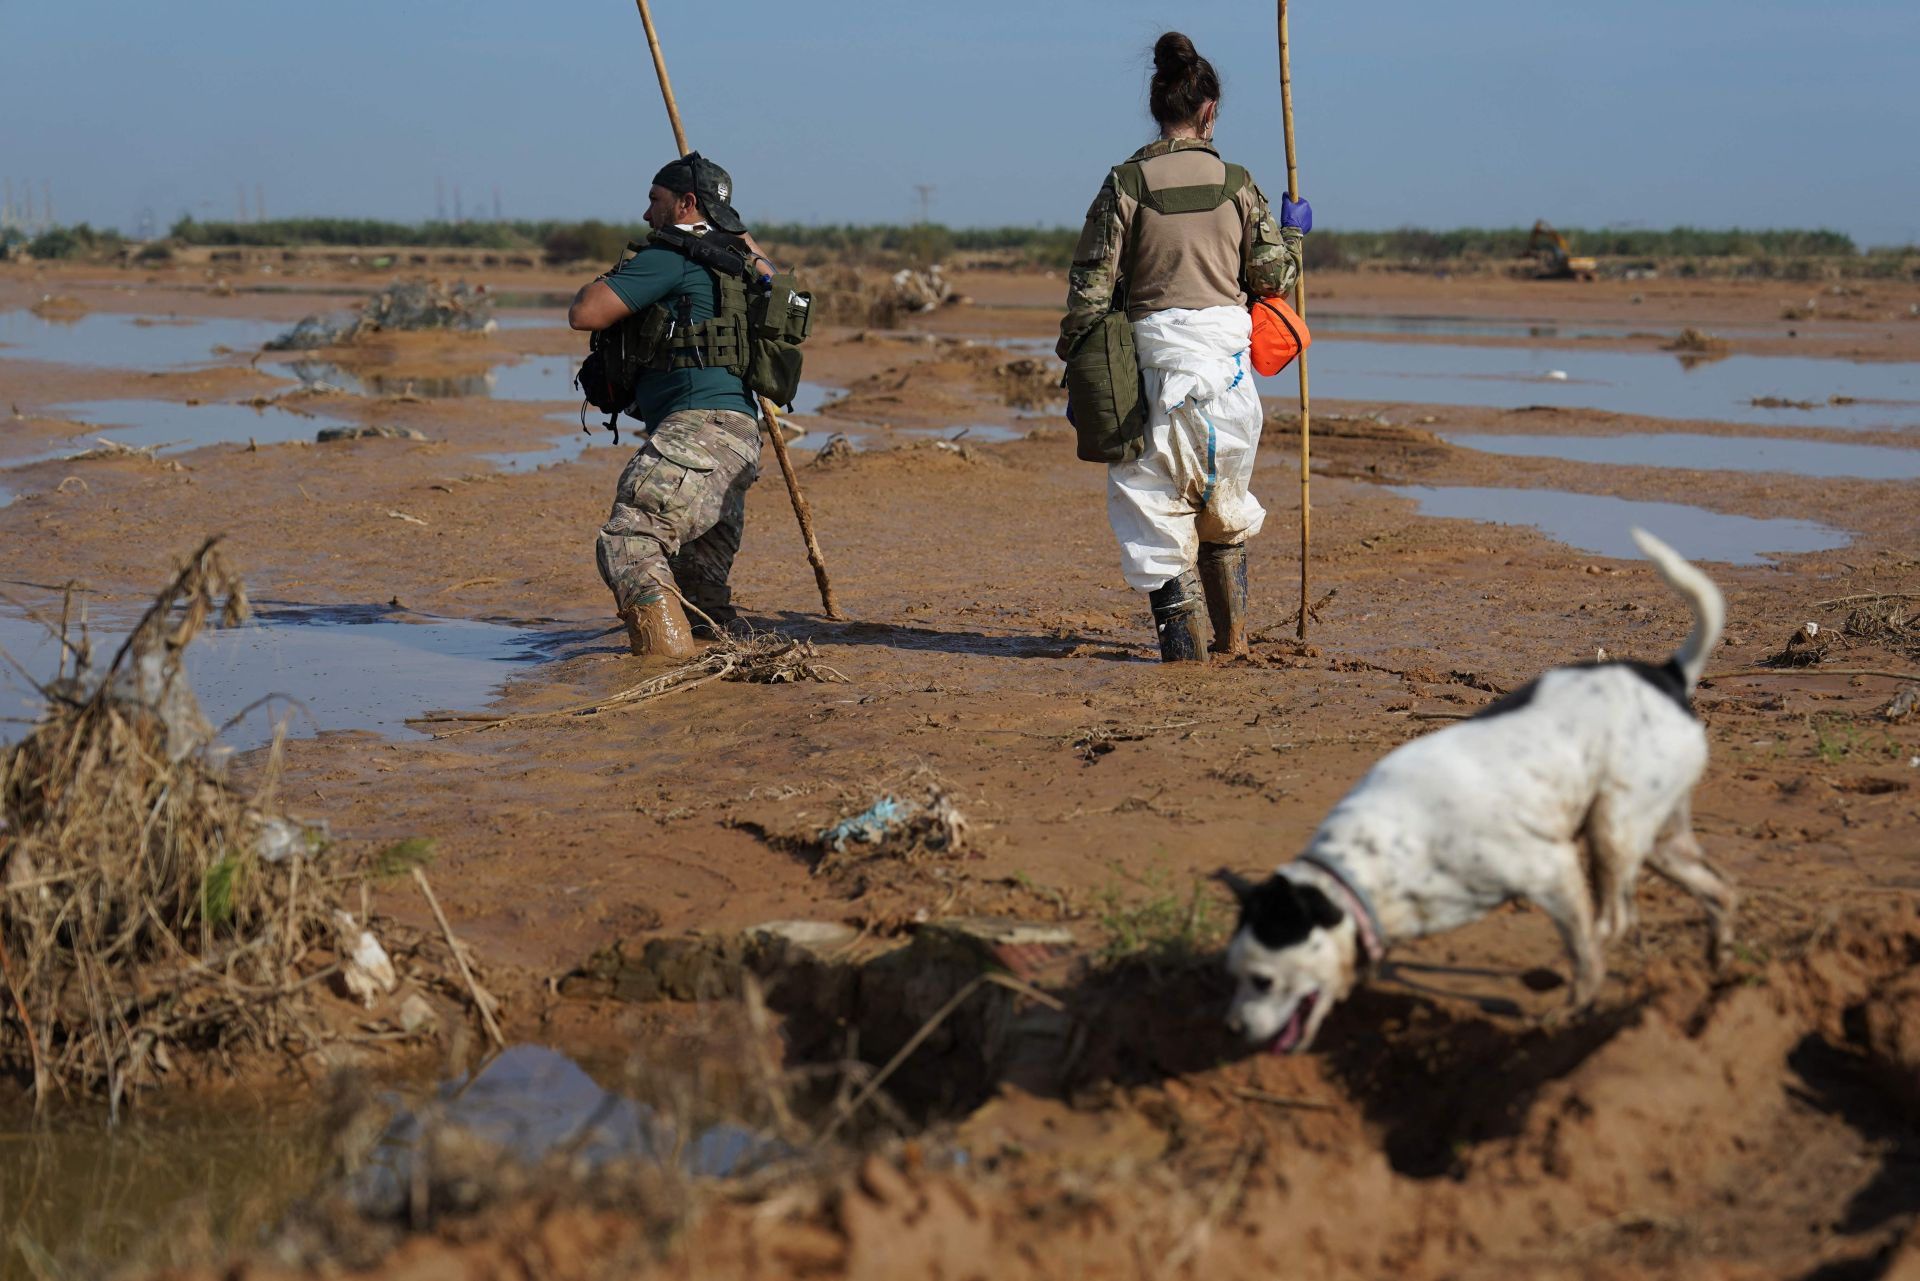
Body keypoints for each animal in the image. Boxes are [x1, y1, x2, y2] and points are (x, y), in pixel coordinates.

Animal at [1228, 530, 1743, 1052]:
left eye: (1263, 980)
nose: (1233, 1029)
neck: (1371, 868)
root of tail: (1668, 674)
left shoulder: (1553, 872)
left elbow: (1583, 952)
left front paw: (1570, 1008)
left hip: (1612, 832)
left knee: (1613, 923)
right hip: (1659, 840)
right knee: (1720, 891)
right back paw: (1717, 972)